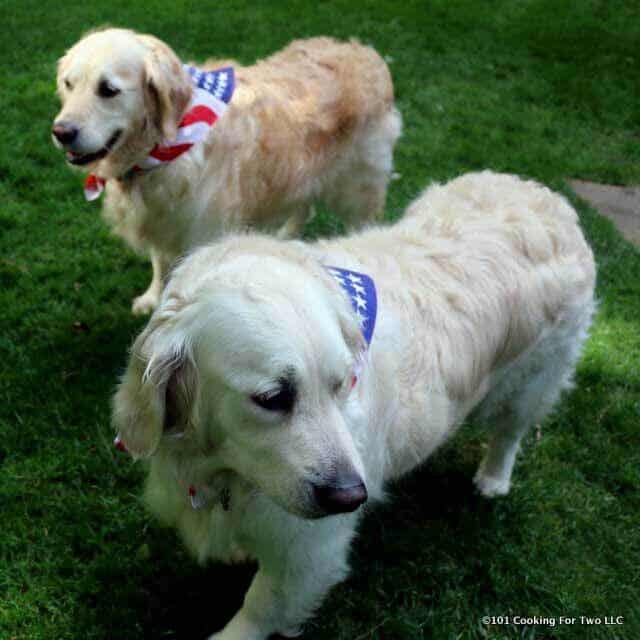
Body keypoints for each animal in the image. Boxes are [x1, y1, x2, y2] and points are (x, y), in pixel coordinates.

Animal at [52, 30, 400, 316]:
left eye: (108, 90)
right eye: (69, 84)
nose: (61, 132)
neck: (160, 148)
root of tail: (365, 52)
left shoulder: (203, 231)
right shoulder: (162, 220)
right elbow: (159, 262)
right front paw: (152, 298)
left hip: (359, 189)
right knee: (303, 207)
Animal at [114, 172, 596, 636]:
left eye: (342, 385)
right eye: (273, 398)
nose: (351, 497)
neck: (228, 471)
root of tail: (548, 197)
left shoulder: (309, 551)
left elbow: (261, 607)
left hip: (533, 379)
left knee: (511, 430)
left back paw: (494, 478)